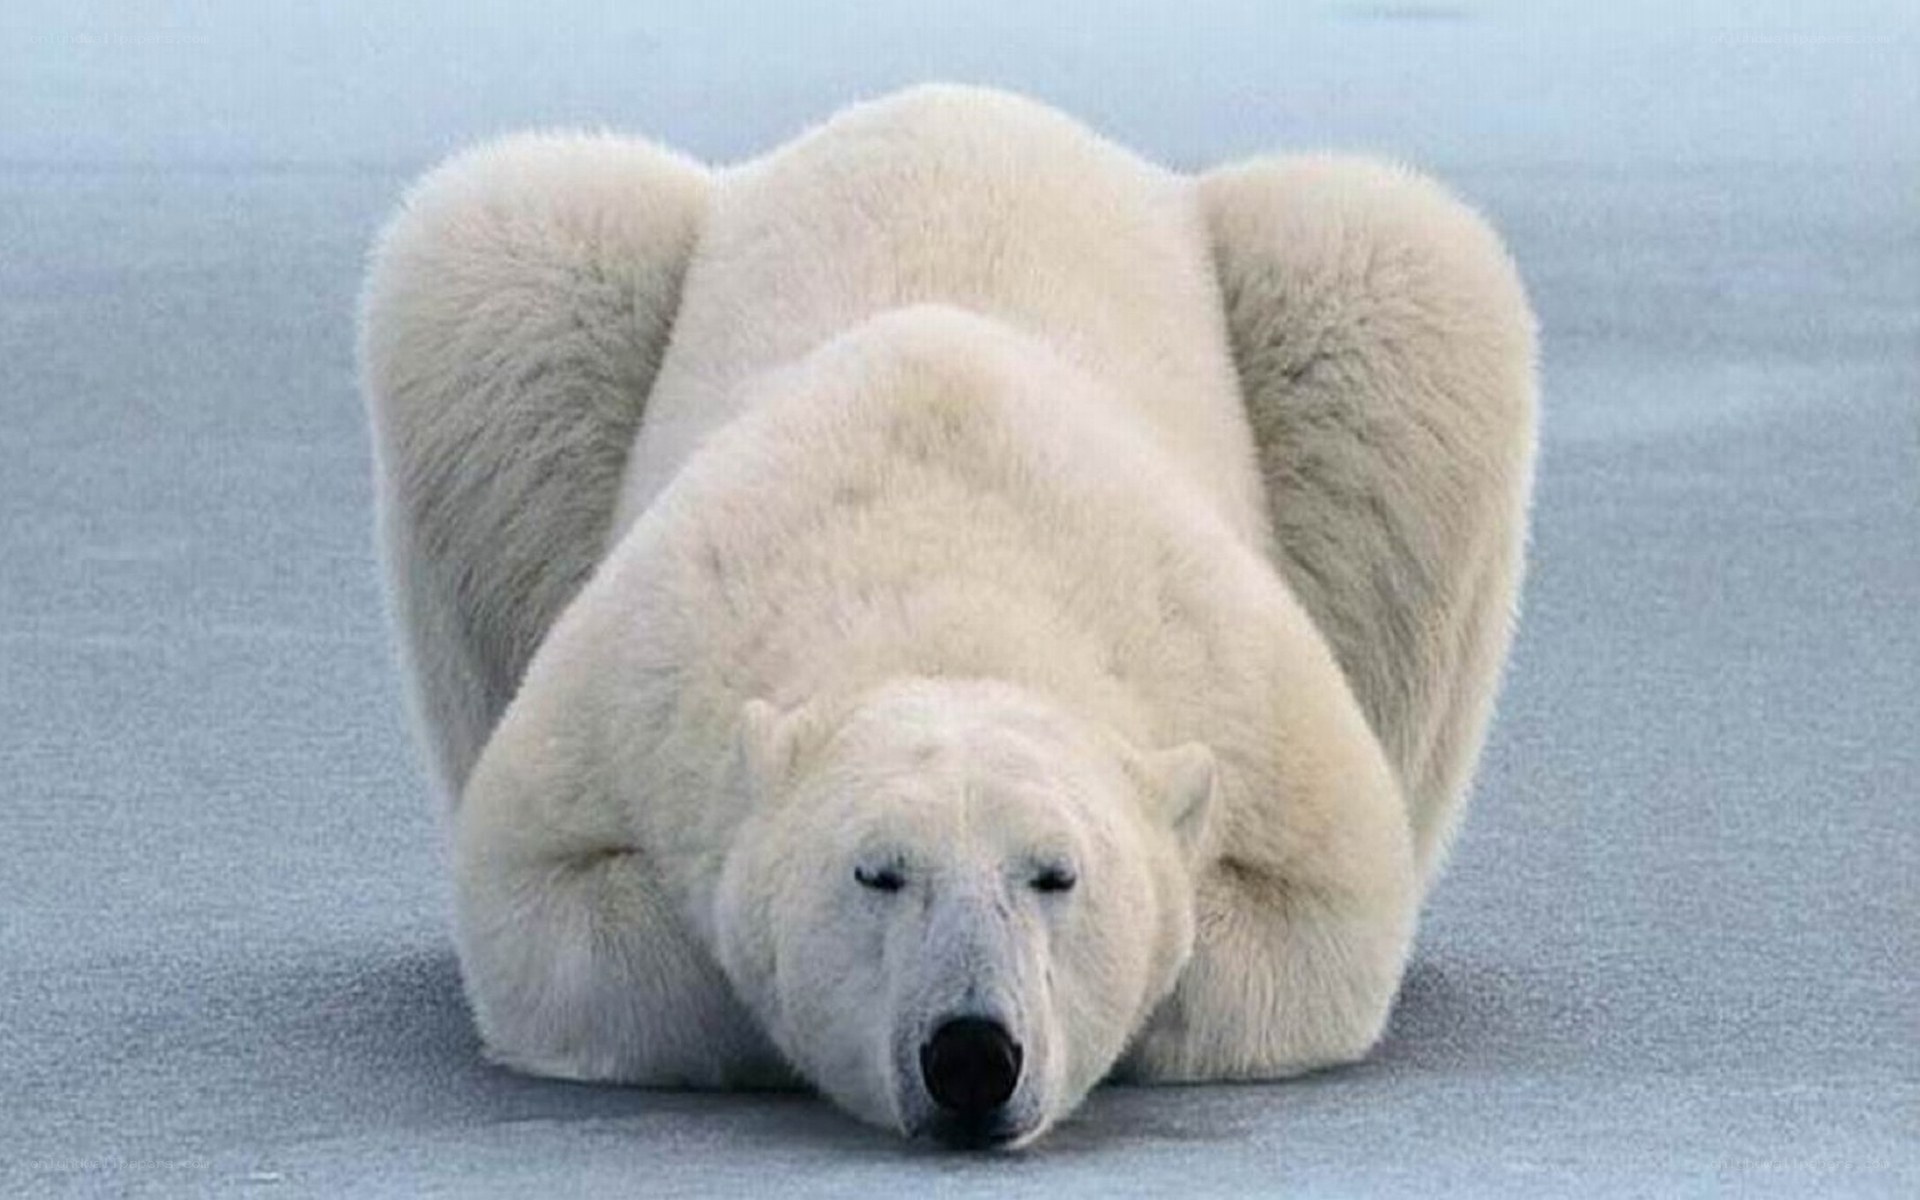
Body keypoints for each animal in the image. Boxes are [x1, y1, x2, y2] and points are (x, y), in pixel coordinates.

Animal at [358, 84, 1537, 1147]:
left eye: (1055, 872)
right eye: (878, 871)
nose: (972, 1053)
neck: (950, 585)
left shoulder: (1238, 687)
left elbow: (1321, 919)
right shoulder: (644, 679)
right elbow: (546, 907)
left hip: (1345, 314)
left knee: (1395, 268)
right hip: (557, 303)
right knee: (504, 249)